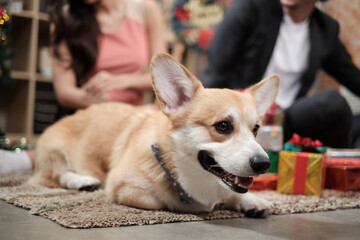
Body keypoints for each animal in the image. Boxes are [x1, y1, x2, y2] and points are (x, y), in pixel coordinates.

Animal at [29, 53, 280, 218]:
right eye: (223, 126)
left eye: (256, 129)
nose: (263, 164)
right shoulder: (121, 186)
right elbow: (160, 202)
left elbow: (234, 192)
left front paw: (251, 199)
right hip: (53, 150)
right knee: (55, 176)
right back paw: (83, 181)